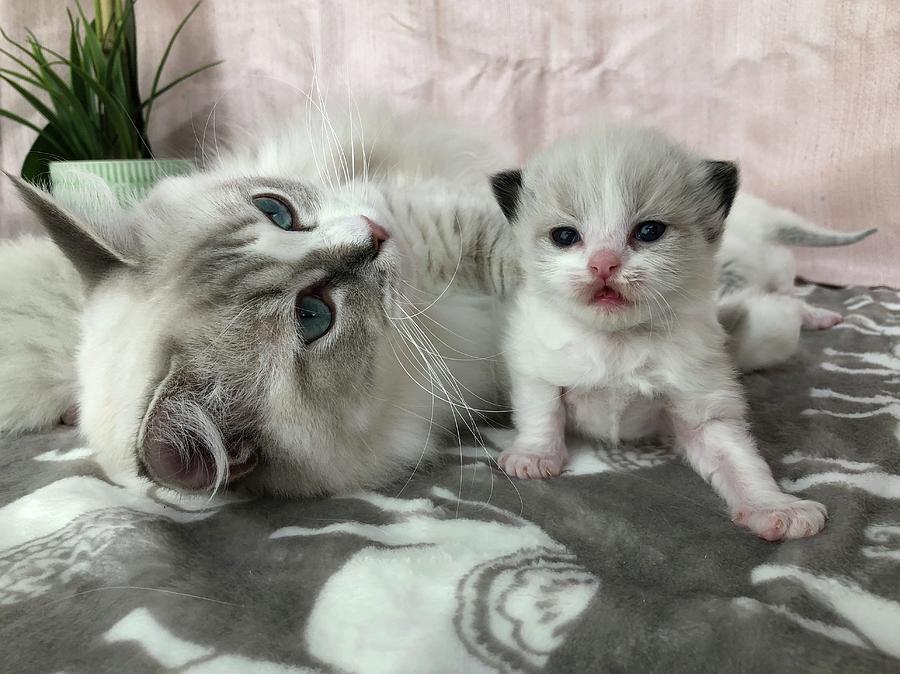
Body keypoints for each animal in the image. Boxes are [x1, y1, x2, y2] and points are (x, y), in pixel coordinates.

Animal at [488, 121, 876, 540]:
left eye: (649, 231)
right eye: (564, 236)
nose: (603, 264)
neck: (617, 340)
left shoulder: (702, 406)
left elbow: (741, 462)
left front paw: (775, 508)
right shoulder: (534, 365)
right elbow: (541, 411)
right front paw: (534, 457)